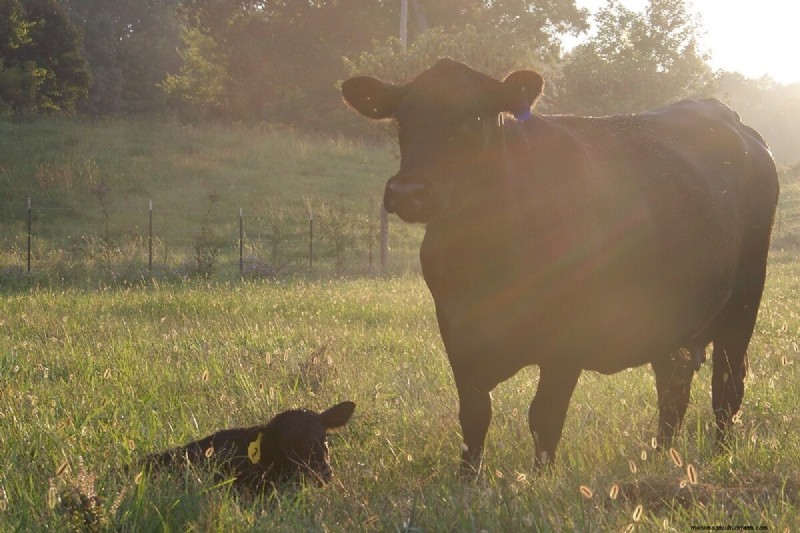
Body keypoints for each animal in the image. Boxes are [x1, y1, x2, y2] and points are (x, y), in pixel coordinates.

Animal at [342, 58, 779, 476]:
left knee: (726, 389)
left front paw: (540, 481)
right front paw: (467, 479)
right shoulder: (457, 331)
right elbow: (474, 416)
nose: (410, 192)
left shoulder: (568, 339)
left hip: (742, 305)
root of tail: (732, 120)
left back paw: (719, 457)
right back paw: (661, 457)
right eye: (402, 118)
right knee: (674, 388)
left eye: (474, 117)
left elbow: (544, 416)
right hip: (670, 319)